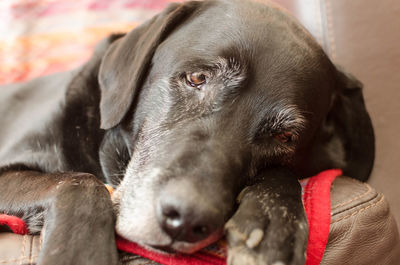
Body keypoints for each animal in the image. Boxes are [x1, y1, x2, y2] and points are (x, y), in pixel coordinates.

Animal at [0, 1, 376, 262]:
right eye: (197, 78)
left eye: (285, 137)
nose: (185, 221)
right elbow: (79, 182)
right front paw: (79, 253)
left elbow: (281, 175)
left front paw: (274, 228)